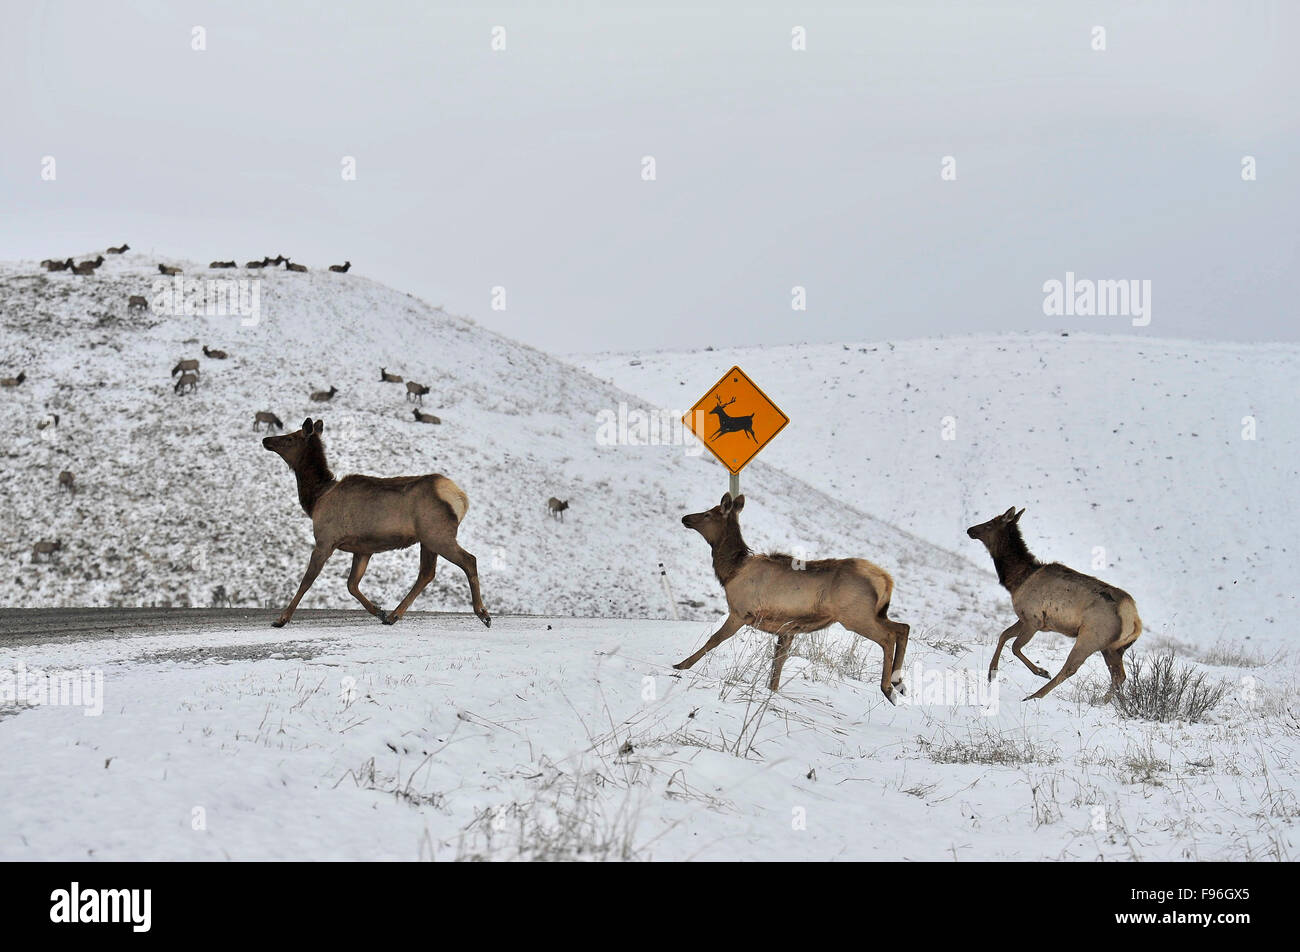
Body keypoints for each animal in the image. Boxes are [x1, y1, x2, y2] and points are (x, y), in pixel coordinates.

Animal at [261, 418, 488, 629]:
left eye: (290, 438)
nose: (266, 440)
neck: (316, 499)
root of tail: (460, 497)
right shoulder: (363, 548)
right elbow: (351, 584)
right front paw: (379, 611)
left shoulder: (325, 540)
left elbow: (307, 581)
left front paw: (281, 619)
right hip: (428, 539)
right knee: (426, 573)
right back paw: (393, 615)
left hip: (438, 534)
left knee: (469, 560)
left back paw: (483, 613)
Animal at [676, 494, 909, 702]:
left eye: (708, 514)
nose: (685, 518)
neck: (731, 571)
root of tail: (886, 580)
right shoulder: (787, 628)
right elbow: (778, 663)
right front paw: (772, 691)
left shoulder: (740, 612)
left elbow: (714, 640)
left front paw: (681, 665)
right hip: (875, 614)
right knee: (902, 627)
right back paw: (899, 682)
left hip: (855, 616)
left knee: (888, 637)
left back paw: (888, 688)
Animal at [967, 509, 1138, 702]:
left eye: (990, 523)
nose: (970, 530)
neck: (1016, 580)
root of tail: (1135, 620)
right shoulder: (1024, 618)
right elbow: (1004, 635)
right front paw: (992, 672)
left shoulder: (1034, 620)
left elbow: (1015, 646)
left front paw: (1041, 671)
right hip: (1112, 648)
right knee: (1119, 675)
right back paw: (1102, 701)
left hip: (1090, 638)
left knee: (1070, 668)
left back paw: (1035, 695)